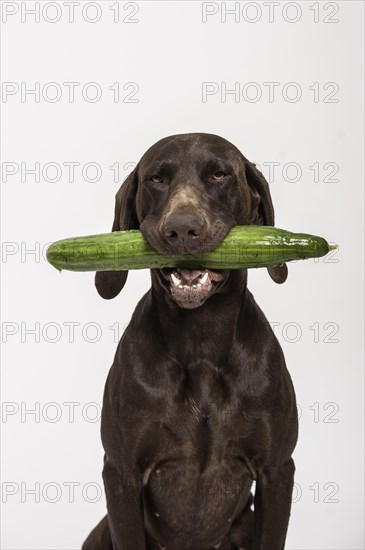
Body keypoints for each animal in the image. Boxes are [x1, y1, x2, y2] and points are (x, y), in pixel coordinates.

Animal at [82, 134, 298, 550]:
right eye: (156, 179)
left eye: (219, 174)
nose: (182, 229)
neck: (200, 343)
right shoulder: (121, 473)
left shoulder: (277, 471)